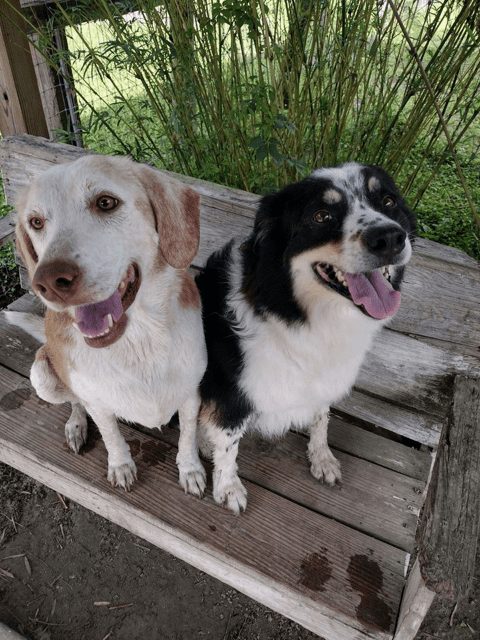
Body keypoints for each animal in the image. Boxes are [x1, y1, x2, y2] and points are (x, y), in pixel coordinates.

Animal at [5, 155, 207, 496]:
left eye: (105, 202)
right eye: (36, 222)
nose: (49, 281)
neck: (139, 340)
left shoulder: (191, 394)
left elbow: (188, 435)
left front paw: (190, 468)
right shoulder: (97, 402)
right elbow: (111, 435)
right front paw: (120, 465)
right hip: (43, 376)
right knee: (74, 401)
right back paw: (76, 426)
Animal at [194, 162, 412, 512]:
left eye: (389, 201)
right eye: (321, 216)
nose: (390, 238)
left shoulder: (323, 381)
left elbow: (321, 420)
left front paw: (321, 459)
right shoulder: (232, 393)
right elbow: (228, 445)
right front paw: (228, 488)